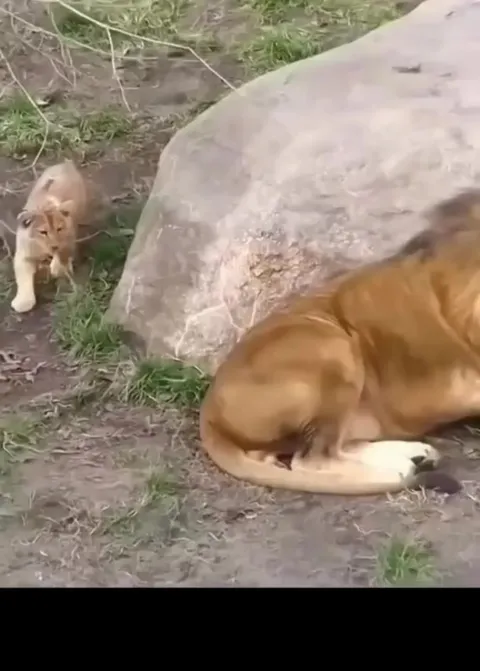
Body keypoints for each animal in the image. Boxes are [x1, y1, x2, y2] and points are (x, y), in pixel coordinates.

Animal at [11, 160, 90, 314]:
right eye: (43, 232)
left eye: (59, 229)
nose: (54, 246)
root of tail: (65, 163)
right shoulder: (24, 254)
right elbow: (23, 277)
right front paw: (23, 302)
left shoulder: (68, 239)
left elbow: (63, 256)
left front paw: (57, 266)